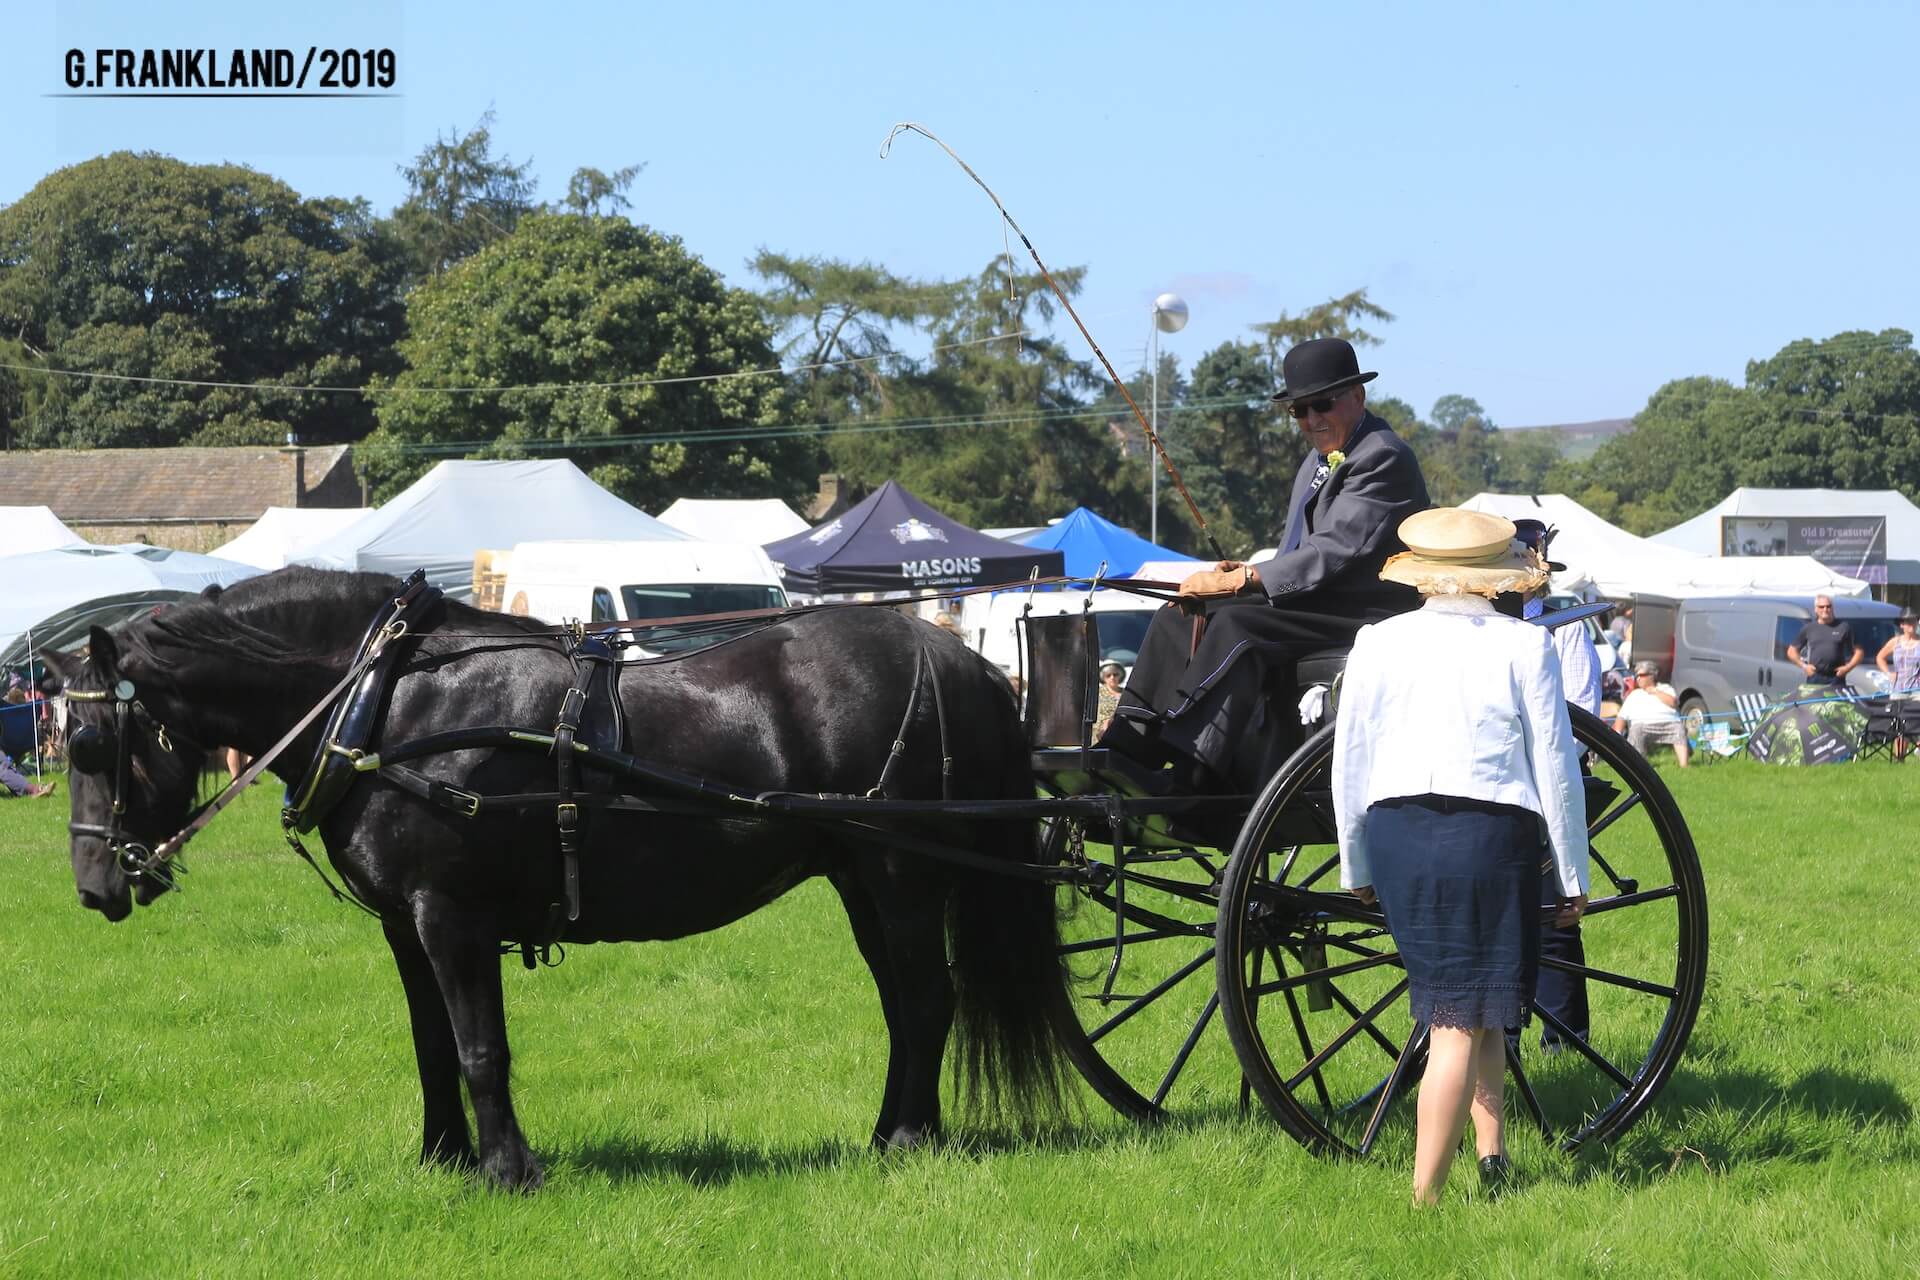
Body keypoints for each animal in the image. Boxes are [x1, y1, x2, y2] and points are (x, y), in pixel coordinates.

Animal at [48, 567, 1067, 1190]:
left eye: (92, 740)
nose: (95, 886)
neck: (389, 702)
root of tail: (961, 660)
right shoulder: (405, 925)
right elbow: (430, 1048)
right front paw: (443, 1161)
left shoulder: (451, 916)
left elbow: (479, 1050)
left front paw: (508, 1170)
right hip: (861, 881)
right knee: (904, 1006)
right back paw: (888, 1134)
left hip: (901, 876)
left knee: (927, 1003)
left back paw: (910, 1142)